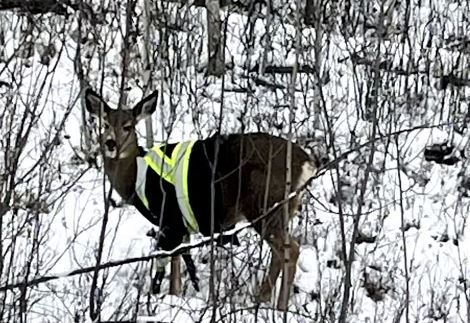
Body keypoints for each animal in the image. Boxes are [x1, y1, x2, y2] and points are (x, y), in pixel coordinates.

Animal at [83, 87, 320, 310]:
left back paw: (274, 305)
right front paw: (177, 295)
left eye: (128, 126)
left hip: (265, 204)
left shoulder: (169, 217)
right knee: (282, 252)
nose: (111, 144)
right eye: (105, 124)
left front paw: (171, 296)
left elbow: (173, 260)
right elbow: (180, 259)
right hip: (281, 209)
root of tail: (307, 164)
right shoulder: (180, 223)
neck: (134, 177)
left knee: (290, 249)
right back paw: (266, 300)